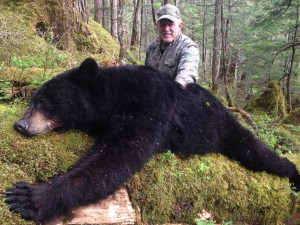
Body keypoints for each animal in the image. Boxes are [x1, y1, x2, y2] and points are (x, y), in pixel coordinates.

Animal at [5, 57, 300, 223]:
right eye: (31, 101)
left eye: (45, 101)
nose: (20, 124)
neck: (114, 94)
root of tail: (220, 104)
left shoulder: (149, 104)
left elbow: (117, 156)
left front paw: (31, 197)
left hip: (224, 128)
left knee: (257, 152)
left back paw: (292, 173)